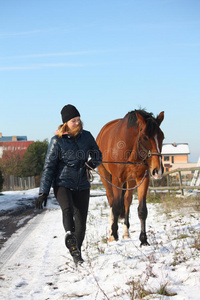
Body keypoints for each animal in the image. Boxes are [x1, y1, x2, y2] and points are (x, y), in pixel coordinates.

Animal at [96, 110, 164, 246]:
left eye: (162, 137)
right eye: (145, 137)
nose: (157, 171)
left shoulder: (143, 179)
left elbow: (142, 210)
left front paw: (143, 239)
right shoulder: (117, 180)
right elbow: (116, 207)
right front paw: (114, 235)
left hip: (131, 180)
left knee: (127, 200)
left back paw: (126, 232)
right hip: (105, 176)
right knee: (111, 200)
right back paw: (111, 231)